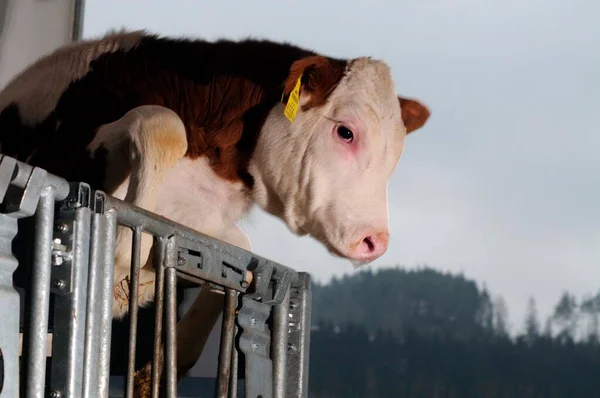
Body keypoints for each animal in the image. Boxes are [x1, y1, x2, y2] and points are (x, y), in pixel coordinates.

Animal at [0, 29, 432, 394]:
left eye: (395, 154)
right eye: (346, 131)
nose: (374, 241)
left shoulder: (204, 222)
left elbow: (239, 263)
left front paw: (164, 363)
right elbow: (161, 126)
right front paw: (125, 260)